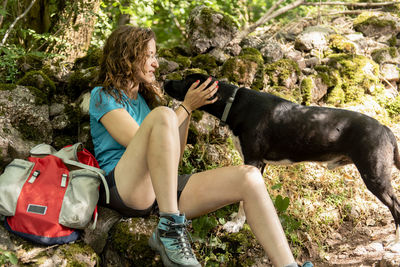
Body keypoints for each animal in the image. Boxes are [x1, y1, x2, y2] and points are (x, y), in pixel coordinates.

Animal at [165, 74, 400, 241]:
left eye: (185, 80)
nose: (165, 80)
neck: (233, 103)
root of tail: (386, 130)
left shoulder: (252, 161)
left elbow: (242, 202)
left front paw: (236, 225)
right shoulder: (259, 165)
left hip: (375, 175)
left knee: (396, 206)